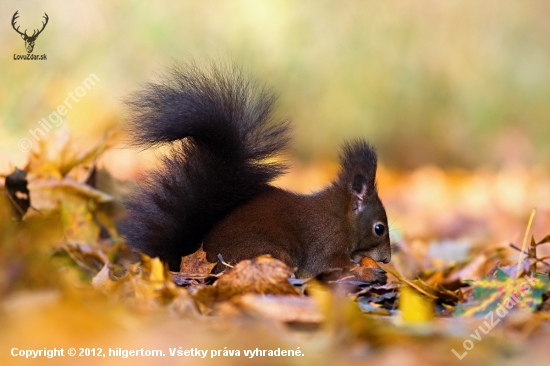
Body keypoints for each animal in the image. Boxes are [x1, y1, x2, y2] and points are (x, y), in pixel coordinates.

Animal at [124, 63, 392, 280]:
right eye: (379, 228)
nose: (388, 259)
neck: (340, 216)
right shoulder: (326, 241)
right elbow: (330, 266)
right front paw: (367, 271)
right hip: (268, 253)